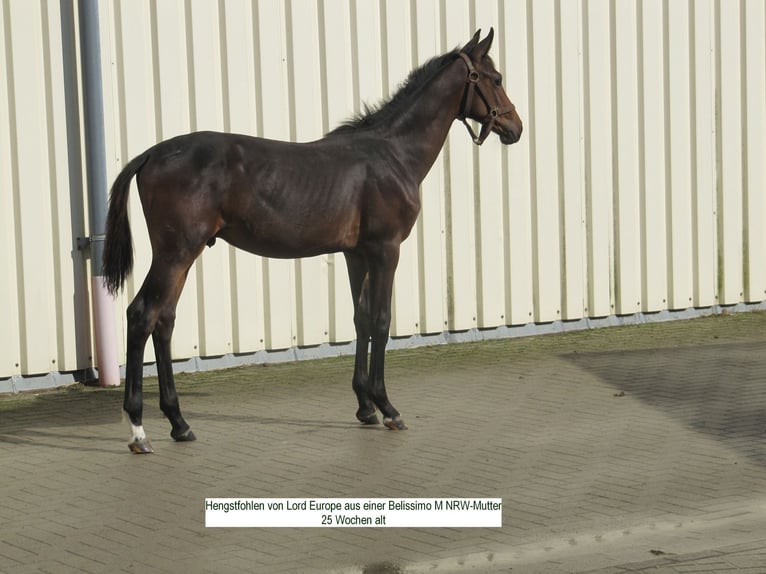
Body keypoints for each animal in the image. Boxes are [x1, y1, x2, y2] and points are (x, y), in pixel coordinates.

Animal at [103, 29, 520, 454]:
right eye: (496, 79)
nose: (514, 127)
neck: (393, 154)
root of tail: (151, 154)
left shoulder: (357, 254)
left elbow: (361, 318)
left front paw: (365, 407)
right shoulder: (386, 250)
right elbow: (381, 319)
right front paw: (387, 407)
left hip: (182, 257)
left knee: (164, 321)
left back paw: (179, 423)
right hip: (175, 254)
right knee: (141, 315)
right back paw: (138, 430)